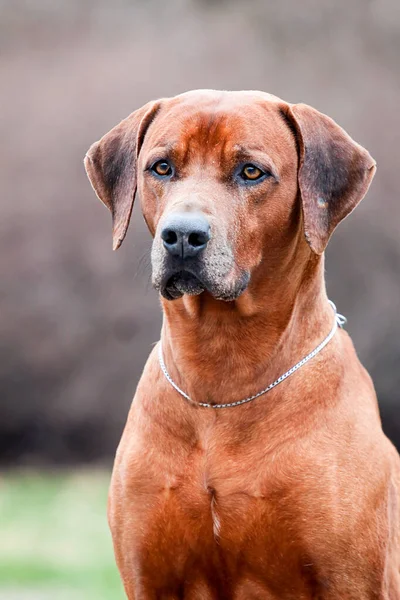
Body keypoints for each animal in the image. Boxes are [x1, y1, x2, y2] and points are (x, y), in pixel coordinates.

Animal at [85, 90, 400, 600]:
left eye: (251, 172)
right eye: (161, 167)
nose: (183, 236)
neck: (222, 377)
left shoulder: (350, 581)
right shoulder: (148, 576)